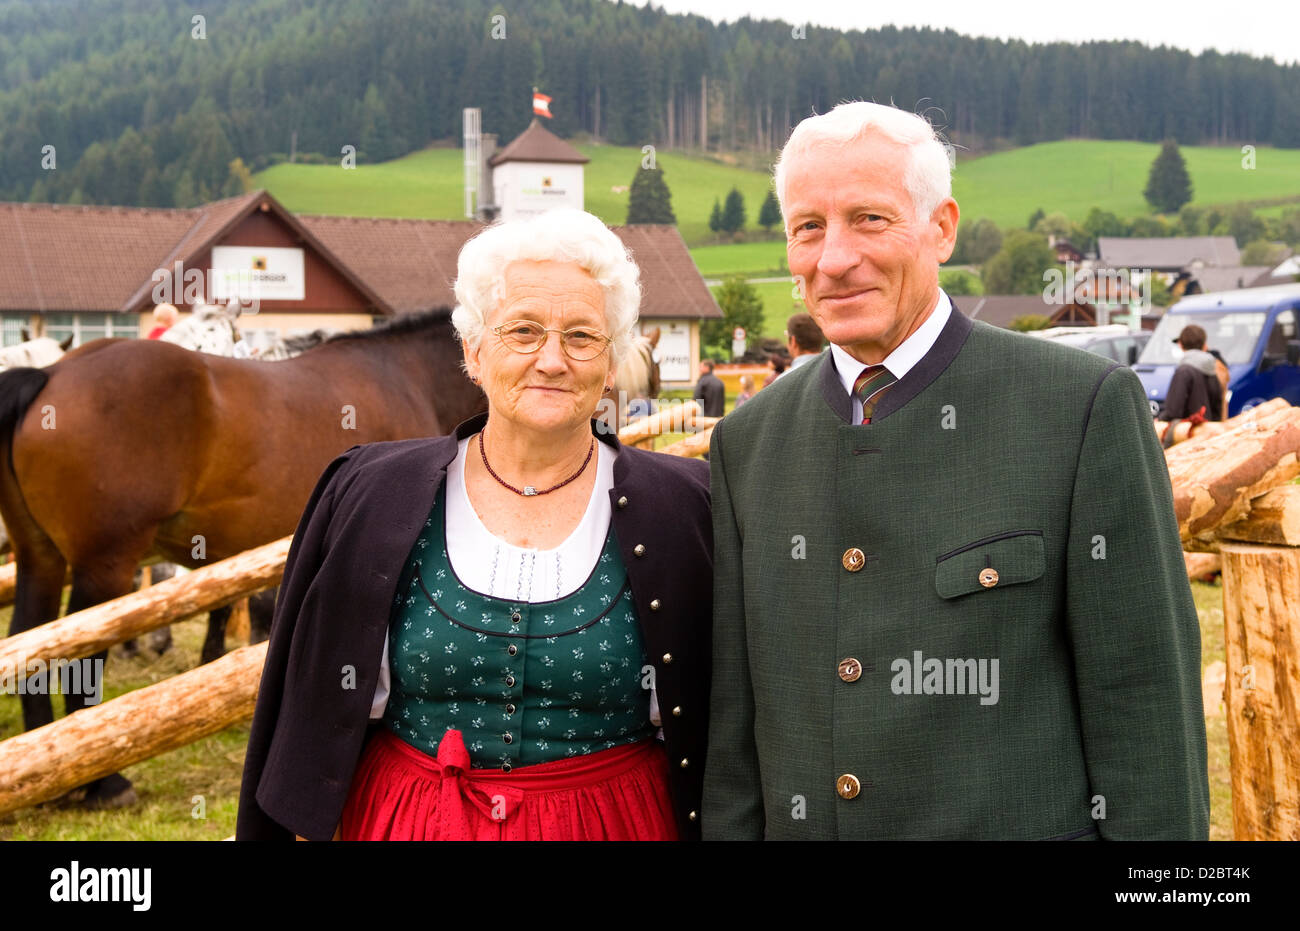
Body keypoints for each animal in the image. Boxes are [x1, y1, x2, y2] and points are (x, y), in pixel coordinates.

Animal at [0, 310, 486, 806]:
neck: (409, 378)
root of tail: (50, 375)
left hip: (40, 559)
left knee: (31, 640)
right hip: (104, 567)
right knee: (79, 654)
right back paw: (105, 782)